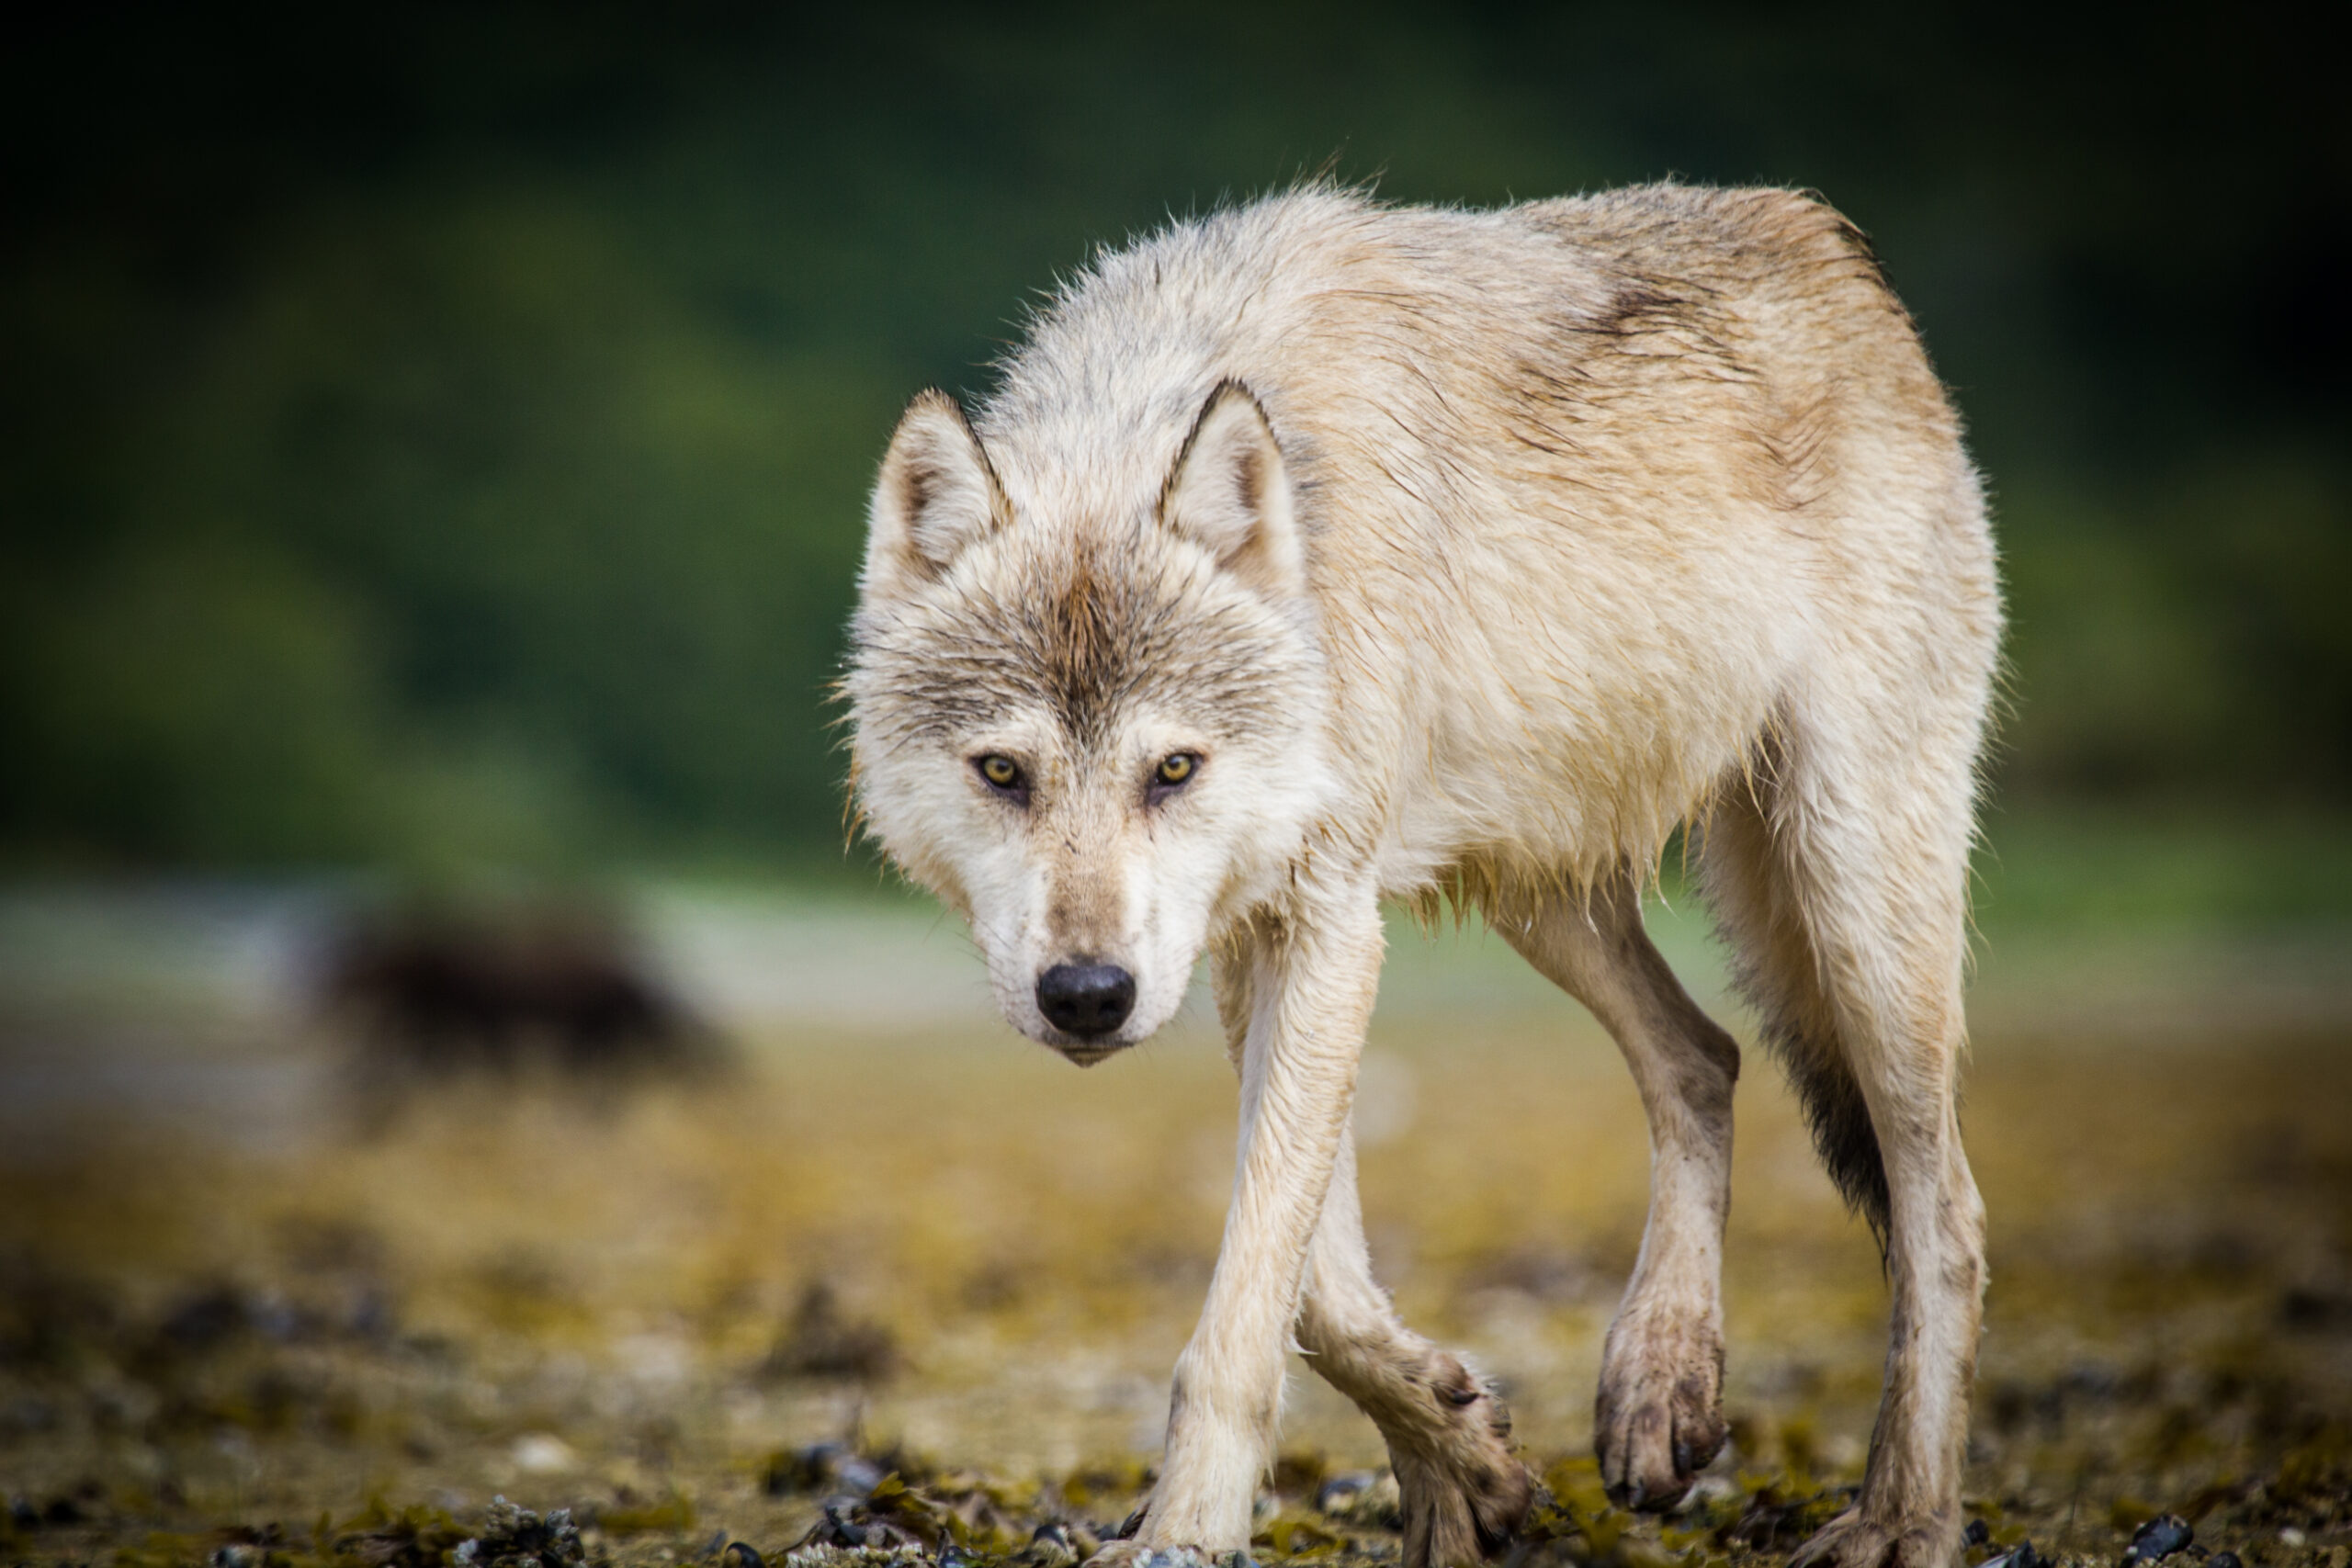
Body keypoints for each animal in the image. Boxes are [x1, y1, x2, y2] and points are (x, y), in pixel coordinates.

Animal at [843, 183, 2001, 1568]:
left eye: (1172, 768)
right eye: (1003, 772)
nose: (1086, 995)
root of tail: (1834, 248)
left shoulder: (1326, 925)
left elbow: (1254, 1306)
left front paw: (1188, 1531)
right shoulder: (1261, 944)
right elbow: (1322, 1295)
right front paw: (1465, 1462)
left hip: (1852, 897)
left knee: (1943, 1210)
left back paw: (1903, 1515)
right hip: (1546, 893)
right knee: (1704, 1058)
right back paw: (1657, 1382)